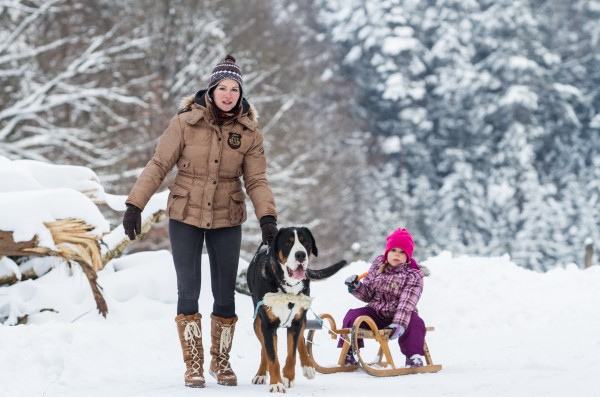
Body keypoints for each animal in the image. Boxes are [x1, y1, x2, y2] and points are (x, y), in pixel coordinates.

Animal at [245, 224, 346, 392]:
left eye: (306, 243)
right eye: (288, 243)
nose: (300, 255)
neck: (287, 287)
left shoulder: (297, 322)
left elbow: (292, 353)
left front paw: (288, 376)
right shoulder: (267, 325)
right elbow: (272, 356)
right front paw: (276, 383)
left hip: (301, 316)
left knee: (301, 339)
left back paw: (307, 365)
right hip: (257, 322)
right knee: (264, 349)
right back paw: (261, 374)